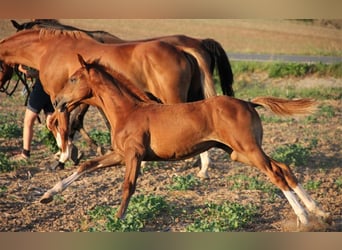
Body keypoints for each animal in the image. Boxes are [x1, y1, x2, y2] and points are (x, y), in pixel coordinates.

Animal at [40, 55, 328, 227]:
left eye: (73, 79)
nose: (57, 102)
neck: (128, 111)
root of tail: (248, 102)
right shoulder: (120, 155)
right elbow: (85, 166)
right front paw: (47, 195)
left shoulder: (133, 155)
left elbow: (128, 186)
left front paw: (118, 219)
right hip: (239, 152)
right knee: (284, 167)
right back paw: (319, 212)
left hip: (248, 149)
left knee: (275, 173)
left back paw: (304, 217)